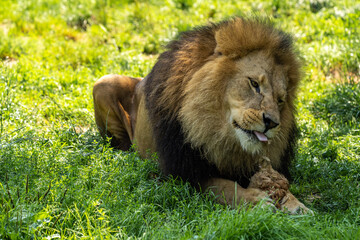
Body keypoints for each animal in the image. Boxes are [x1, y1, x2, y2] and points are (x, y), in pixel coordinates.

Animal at [92, 17, 310, 215]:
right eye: (254, 84)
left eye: (280, 100)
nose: (271, 123)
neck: (218, 134)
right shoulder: (181, 174)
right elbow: (224, 187)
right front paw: (255, 200)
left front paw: (297, 204)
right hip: (103, 83)